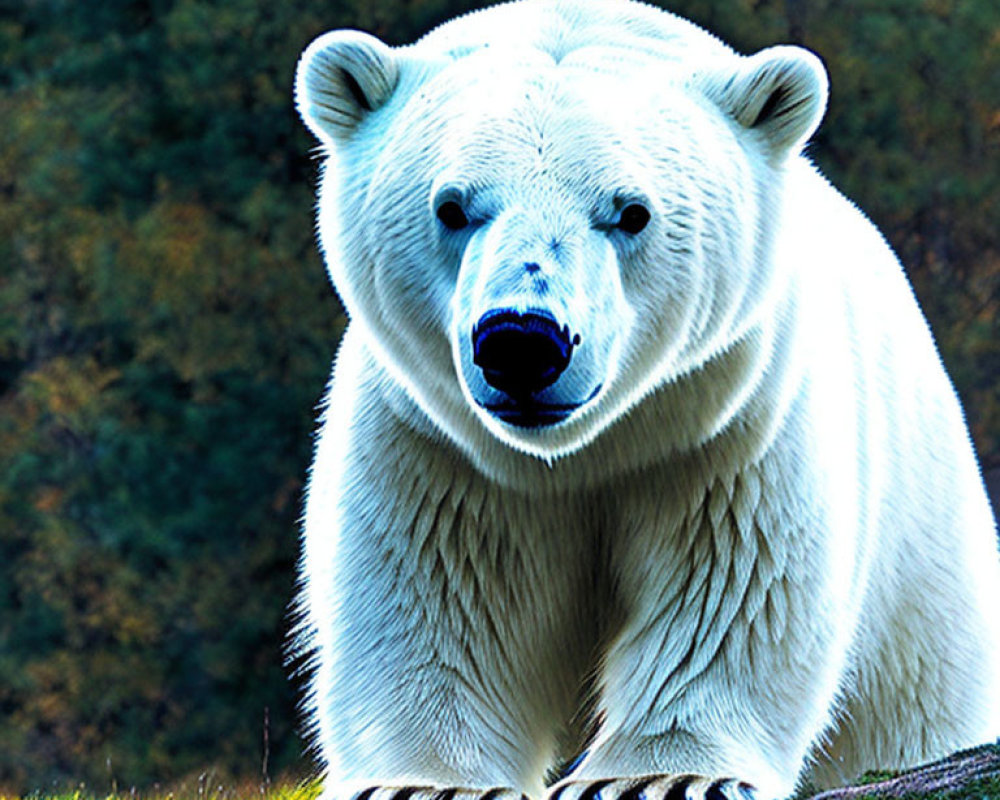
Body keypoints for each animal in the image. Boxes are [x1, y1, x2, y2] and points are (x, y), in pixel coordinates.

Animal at [292, 4, 1000, 800]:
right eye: (451, 206)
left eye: (631, 212)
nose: (522, 341)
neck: (583, 453)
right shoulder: (434, 446)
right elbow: (434, 595)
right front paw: (429, 781)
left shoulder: (730, 426)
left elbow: (732, 588)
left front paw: (654, 775)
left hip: (924, 573)